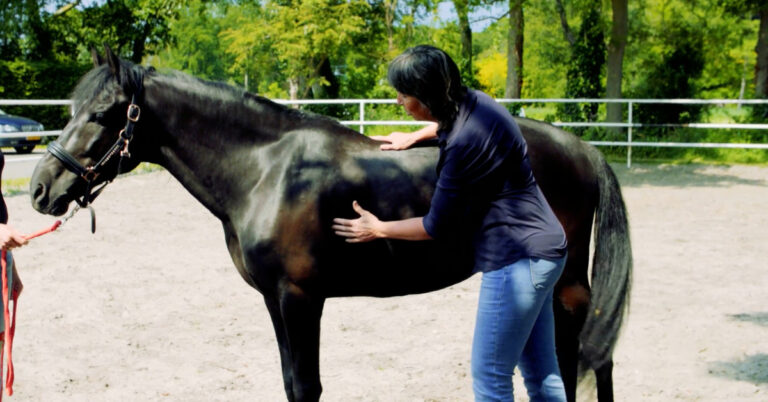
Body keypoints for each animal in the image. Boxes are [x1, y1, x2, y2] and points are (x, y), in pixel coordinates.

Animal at [30, 47, 631, 402]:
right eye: (73, 108)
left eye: (104, 114)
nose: (40, 190)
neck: (265, 169)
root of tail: (580, 148)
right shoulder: (275, 299)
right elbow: (293, 383)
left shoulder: (300, 297)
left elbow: (307, 385)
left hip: (567, 279)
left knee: (586, 350)